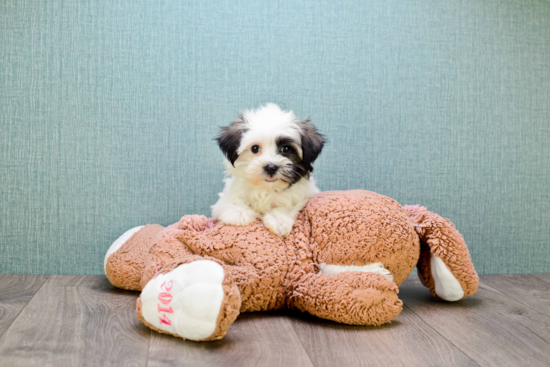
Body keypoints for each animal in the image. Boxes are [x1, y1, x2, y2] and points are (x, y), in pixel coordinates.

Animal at [212, 103, 326, 239]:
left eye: (286, 149)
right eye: (255, 148)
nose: (271, 167)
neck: (267, 188)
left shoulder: (302, 196)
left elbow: (288, 205)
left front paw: (278, 220)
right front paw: (238, 212)